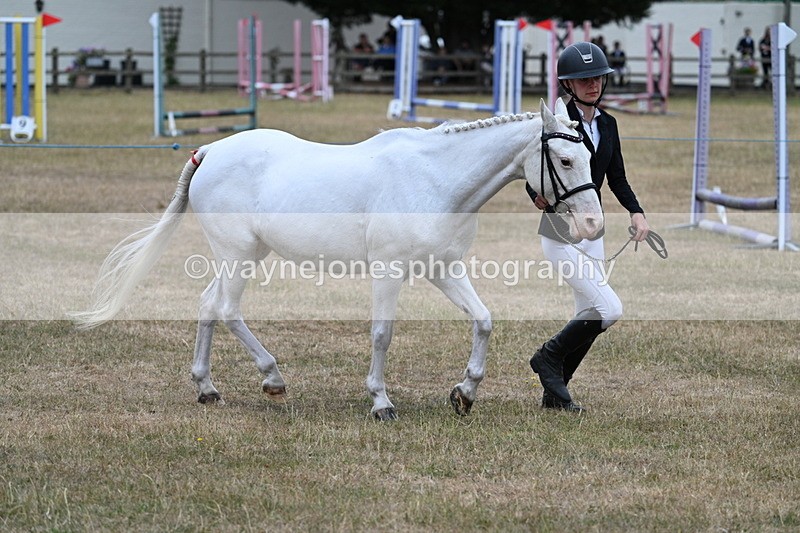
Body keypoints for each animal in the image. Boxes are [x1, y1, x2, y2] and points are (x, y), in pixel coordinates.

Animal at [72, 99, 603, 421]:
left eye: (592, 157)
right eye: (566, 160)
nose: (592, 226)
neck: (435, 179)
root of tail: (210, 150)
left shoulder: (443, 269)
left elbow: (484, 320)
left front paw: (464, 393)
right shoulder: (389, 273)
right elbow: (382, 334)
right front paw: (381, 402)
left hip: (242, 254)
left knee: (208, 305)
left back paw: (207, 389)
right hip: (237, 253)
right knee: (225, 308)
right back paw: (272, 378)